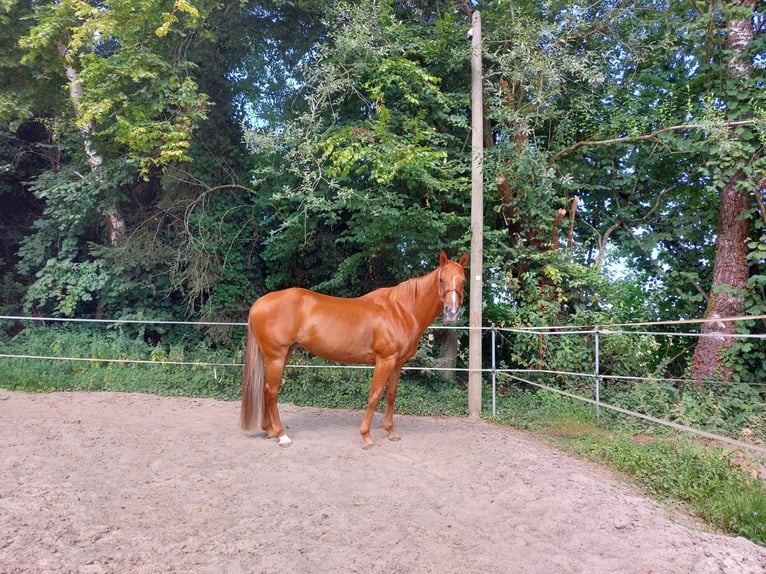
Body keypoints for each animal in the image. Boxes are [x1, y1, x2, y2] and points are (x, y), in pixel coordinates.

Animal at [240, 250, 469, 449]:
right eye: (442, 280)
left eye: (463, 281)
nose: (451, 312)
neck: (401, 310)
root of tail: (261, 302)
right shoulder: (384, 360)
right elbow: (374, 395)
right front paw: (366, 437)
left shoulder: (398, 363)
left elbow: (391, 395)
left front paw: (391, 432)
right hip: (276, 356)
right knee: (271, 392)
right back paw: (282, 436)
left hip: (281, 355)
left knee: (266, 390)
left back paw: (270, 430)